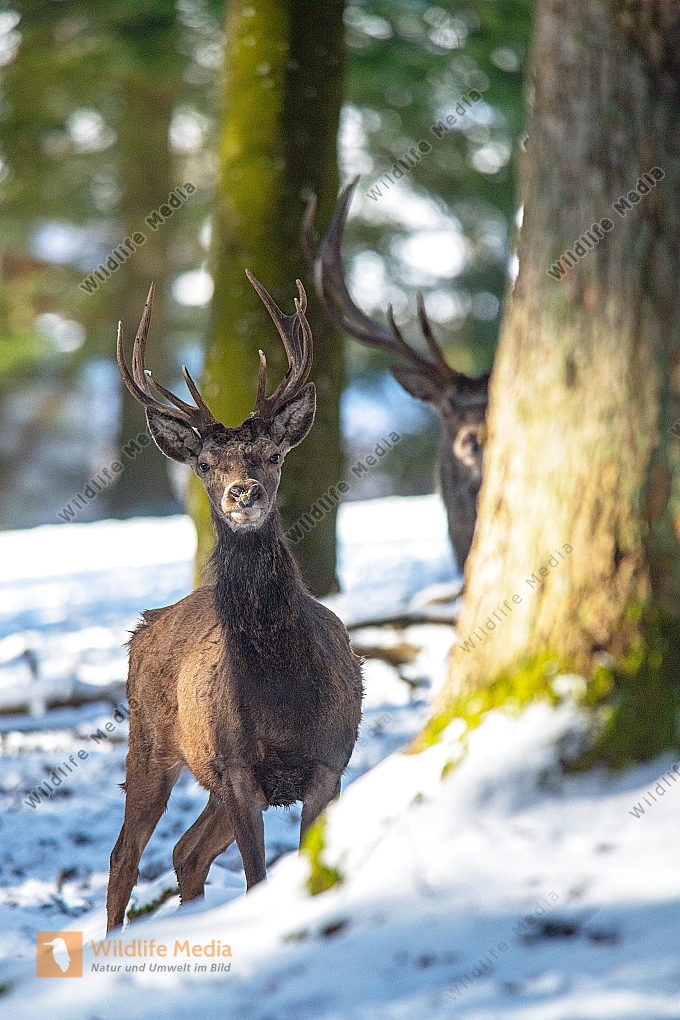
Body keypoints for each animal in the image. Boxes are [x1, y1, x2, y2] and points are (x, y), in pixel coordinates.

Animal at [106, 272, 363, 933]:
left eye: (272, 456)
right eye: (204, 463)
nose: (242, 493)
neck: (281, 694)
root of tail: (144, 626)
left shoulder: (327, 765)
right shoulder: (240, 769)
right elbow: (255, 880)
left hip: (211, 779)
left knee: (184, 851)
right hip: (152, 742)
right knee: (125, 856)